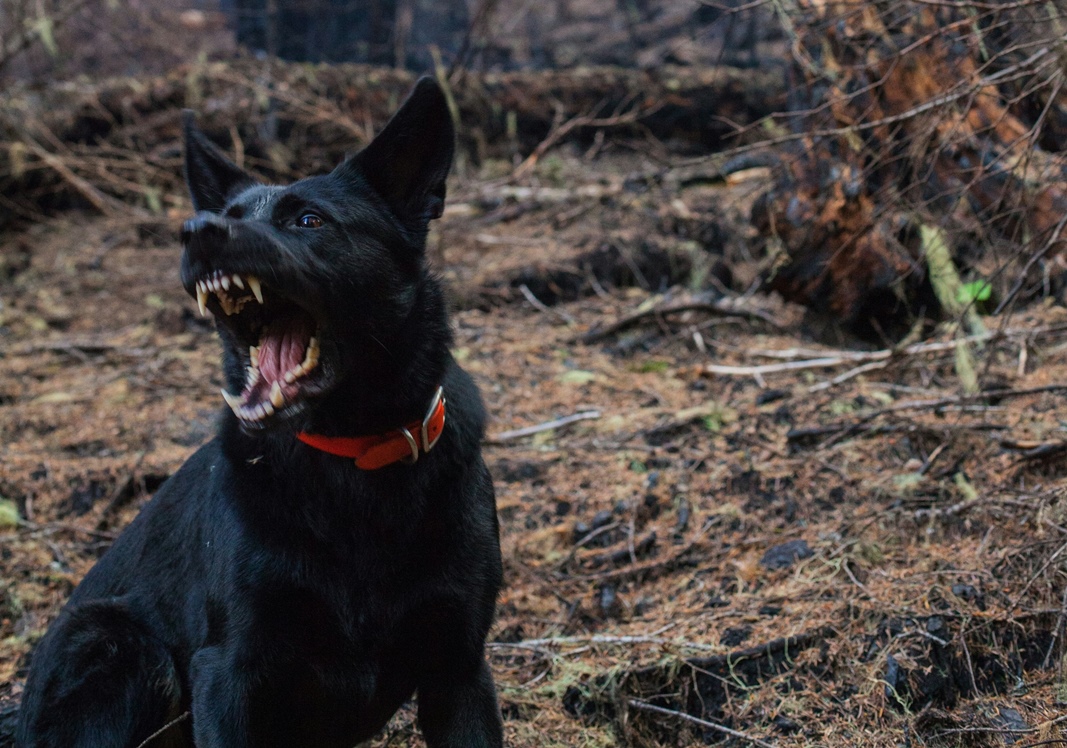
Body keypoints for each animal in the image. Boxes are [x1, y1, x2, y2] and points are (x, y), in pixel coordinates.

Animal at [16, 77, 505, 746]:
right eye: (228, 216)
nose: (196, 230)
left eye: (308, 219)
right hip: (122, 646)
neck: (352, 459)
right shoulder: (229, 670)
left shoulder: (459, 670)